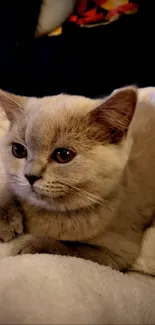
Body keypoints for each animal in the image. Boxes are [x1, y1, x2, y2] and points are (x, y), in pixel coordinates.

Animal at [0, 86, 154, 270]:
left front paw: (32, 244)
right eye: (18, 150)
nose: (30, 176)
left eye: (63, 155)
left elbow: (73, 248)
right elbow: (10, 186)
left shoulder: (117, 254)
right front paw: (5, 217)